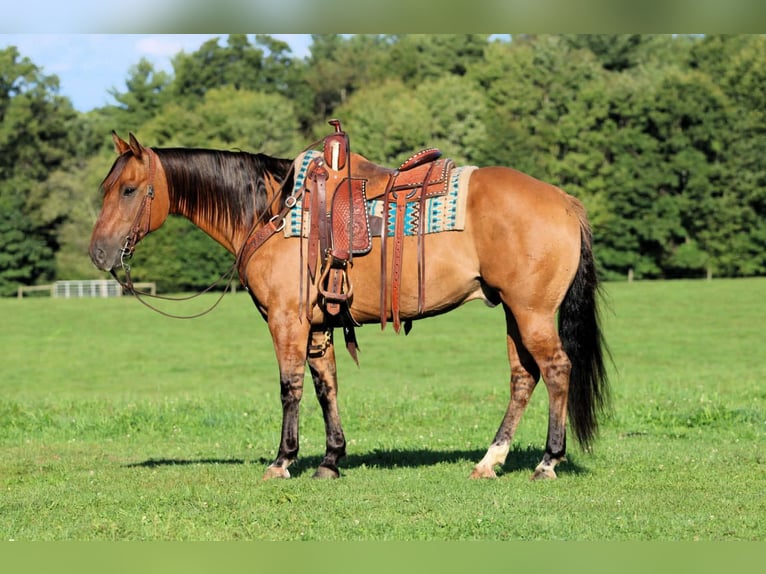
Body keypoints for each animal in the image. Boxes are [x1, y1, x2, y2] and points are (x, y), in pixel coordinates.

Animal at [89, 130, 610, 481]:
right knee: (523, 377)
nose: (98, 253)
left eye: (129, 190)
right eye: (105, 189)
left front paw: (283, 460)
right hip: (512, 312)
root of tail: (564, 201)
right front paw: (331, 459)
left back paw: (547, 461)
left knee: (556, 370)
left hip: (532, 313)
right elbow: (326, 388)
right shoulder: (319, 325)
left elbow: (290, 388)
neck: (272, 212)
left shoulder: (287, 320)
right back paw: (490, 461)